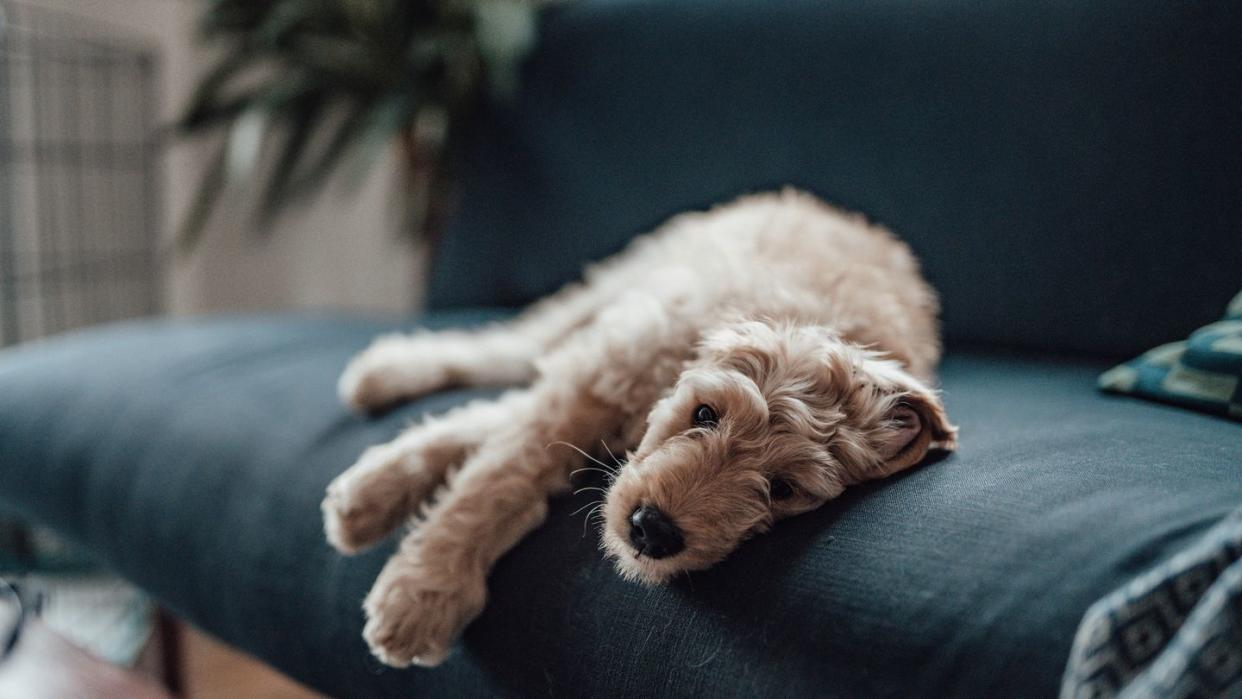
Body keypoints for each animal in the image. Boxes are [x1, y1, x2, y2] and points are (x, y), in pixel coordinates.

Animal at [325, 189, 953, 665]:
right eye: (705, 414)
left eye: (783, 489)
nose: (652, 531)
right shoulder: (604, 371)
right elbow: (499, 476)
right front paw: (424, 592)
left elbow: (500, 432)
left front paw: (375, 499)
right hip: (622, 284)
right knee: (517, 346)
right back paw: (385, 372)